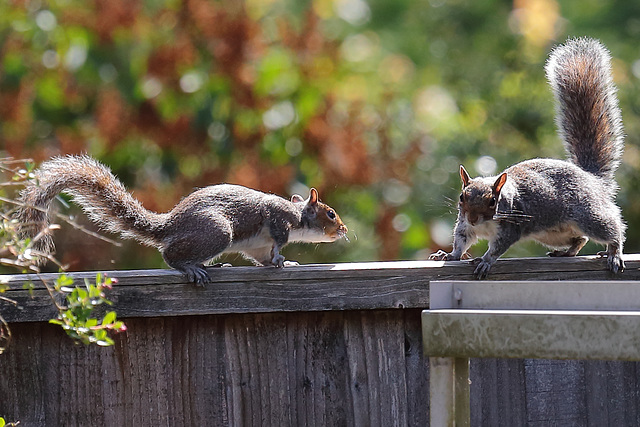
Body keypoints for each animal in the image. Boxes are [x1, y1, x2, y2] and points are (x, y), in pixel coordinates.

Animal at [18, 155, 350, 284]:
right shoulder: (279, 220)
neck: (298, 216)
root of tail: (170, 225)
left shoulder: (257, 246)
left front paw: (284, 262)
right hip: (217, 231)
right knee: (170, 255)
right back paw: (191, 267)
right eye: (330, 213)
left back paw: (210, 265)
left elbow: (262, 257)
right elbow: (278, 241)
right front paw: (282, 257)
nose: (344, 230)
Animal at [430, 36, 624, 280]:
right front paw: (449, 255)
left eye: (493, 201)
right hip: (553, 234)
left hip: (588, 215)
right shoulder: (464, 226)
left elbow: (498, 247)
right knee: (580, 239)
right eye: (461, 197)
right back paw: (567, 253)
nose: (474, 218)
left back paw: (614, 253)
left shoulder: (510, 227)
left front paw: (485, 261)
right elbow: (460, 242)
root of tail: (592, 178)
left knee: (611, 229)